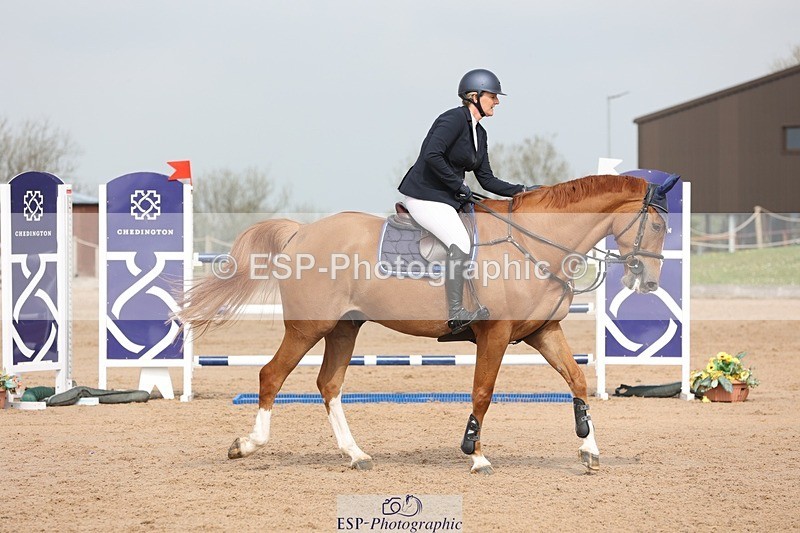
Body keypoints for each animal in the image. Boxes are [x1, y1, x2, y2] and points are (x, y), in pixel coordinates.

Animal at [179, 173, 679, 475]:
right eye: (656, 226)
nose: (649, 282)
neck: (536, 242)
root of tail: (301, 232)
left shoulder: (542, 333)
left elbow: (576, 379)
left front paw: (588, 449)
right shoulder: (495, 335)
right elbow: (483, 392)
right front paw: (476, 457)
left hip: (344, 327)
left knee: (329, 384)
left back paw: (355, 454)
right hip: (308, 327)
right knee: (272, 375)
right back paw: (247, 445)